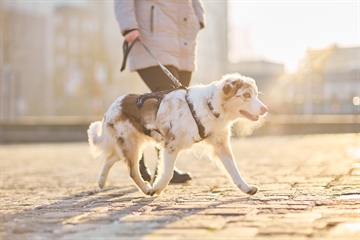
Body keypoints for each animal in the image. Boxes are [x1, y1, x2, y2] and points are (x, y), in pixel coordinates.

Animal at [87, 73, 268, 197]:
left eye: (255, 95)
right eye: (246, 95)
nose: (265, 109)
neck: (209, 106)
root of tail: (111, 108)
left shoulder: (220, 144)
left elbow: (234, 170)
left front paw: (246, 188)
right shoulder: (171, 144)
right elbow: (167, 173)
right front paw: (158, 187)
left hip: (130, 144)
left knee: (111, 158)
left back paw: (101, 181)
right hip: (131, 144)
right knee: (132, 171)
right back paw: (146, 189)